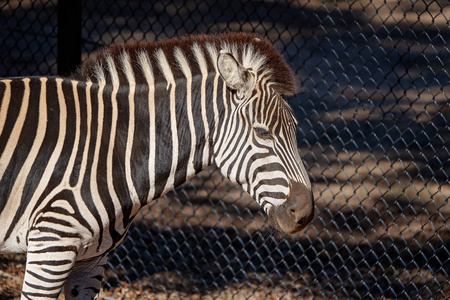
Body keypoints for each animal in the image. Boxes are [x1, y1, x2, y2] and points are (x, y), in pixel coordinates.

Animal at [0, 32, 312, 298]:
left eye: (295, 131)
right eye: (262, 133)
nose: (305, 214)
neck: (112, 148)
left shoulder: (91, 260)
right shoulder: (51, 246)